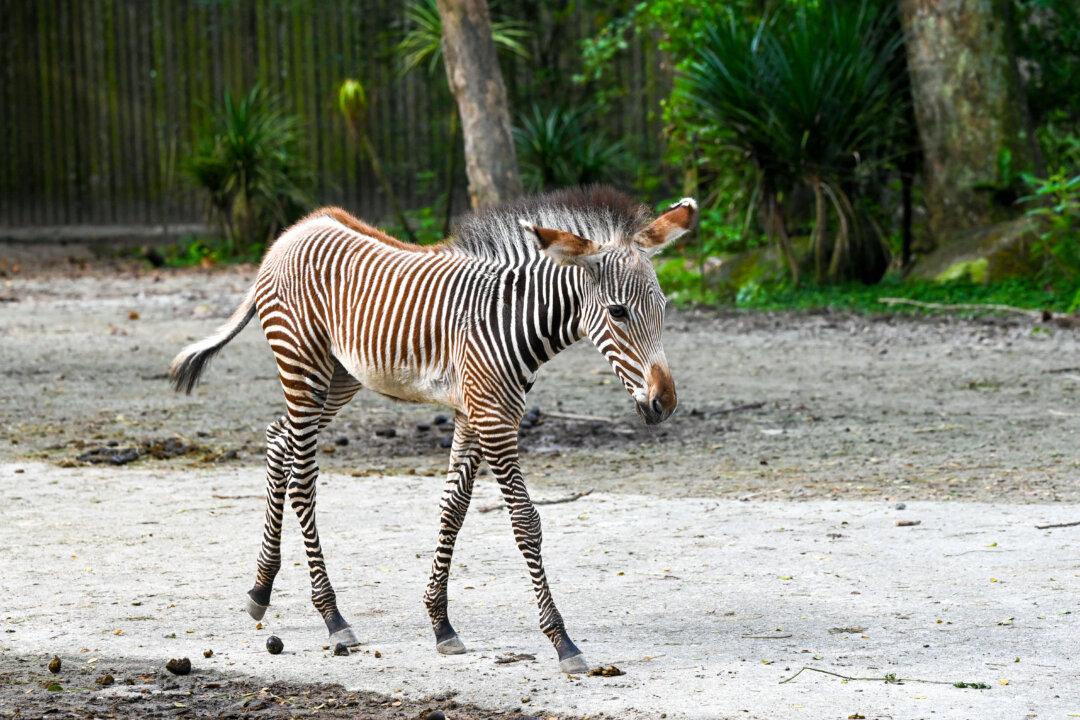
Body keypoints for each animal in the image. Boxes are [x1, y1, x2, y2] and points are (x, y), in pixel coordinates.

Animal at [169, 186, 696, 673]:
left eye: (664, 306)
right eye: (618, 312)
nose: (664, 404)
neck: (510, 321)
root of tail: (292, 232)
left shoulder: (473, 414)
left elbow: (453, 510)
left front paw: (441, 624)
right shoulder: (494, 418)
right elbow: (526, 522)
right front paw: (562, 642)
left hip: (339, 378)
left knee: (278, 440)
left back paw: (261, 589)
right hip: (303, 366)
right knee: (302, 476)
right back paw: (333, 617)